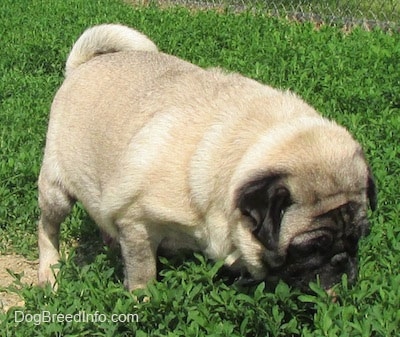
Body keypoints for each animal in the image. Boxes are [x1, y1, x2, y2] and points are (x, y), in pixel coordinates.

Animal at [37, 24, 376, 292]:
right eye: (310, 248)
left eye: (358, 238)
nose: (343, 263)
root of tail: (82, 66)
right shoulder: (136, 224)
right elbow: (143, 272)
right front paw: (144, 303)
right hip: (56, 192)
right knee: (48, 228)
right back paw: (49, 275)